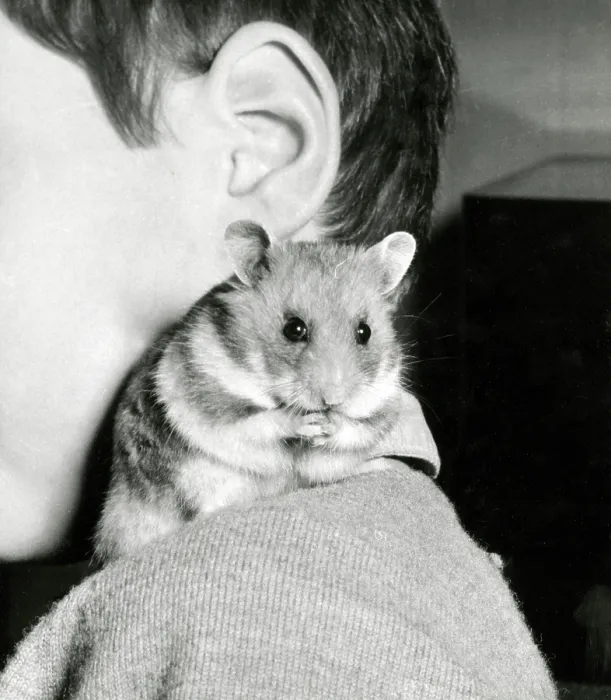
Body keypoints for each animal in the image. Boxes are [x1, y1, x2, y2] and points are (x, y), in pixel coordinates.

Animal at [94, 220, 417, 562]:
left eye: (364, 332)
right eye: (294, 329)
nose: (333, 399)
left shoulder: (378, 405)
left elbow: (351, 432)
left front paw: (329, 425)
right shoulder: (209, 401)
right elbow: (261, 422)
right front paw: (305, 422)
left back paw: (383, 464)